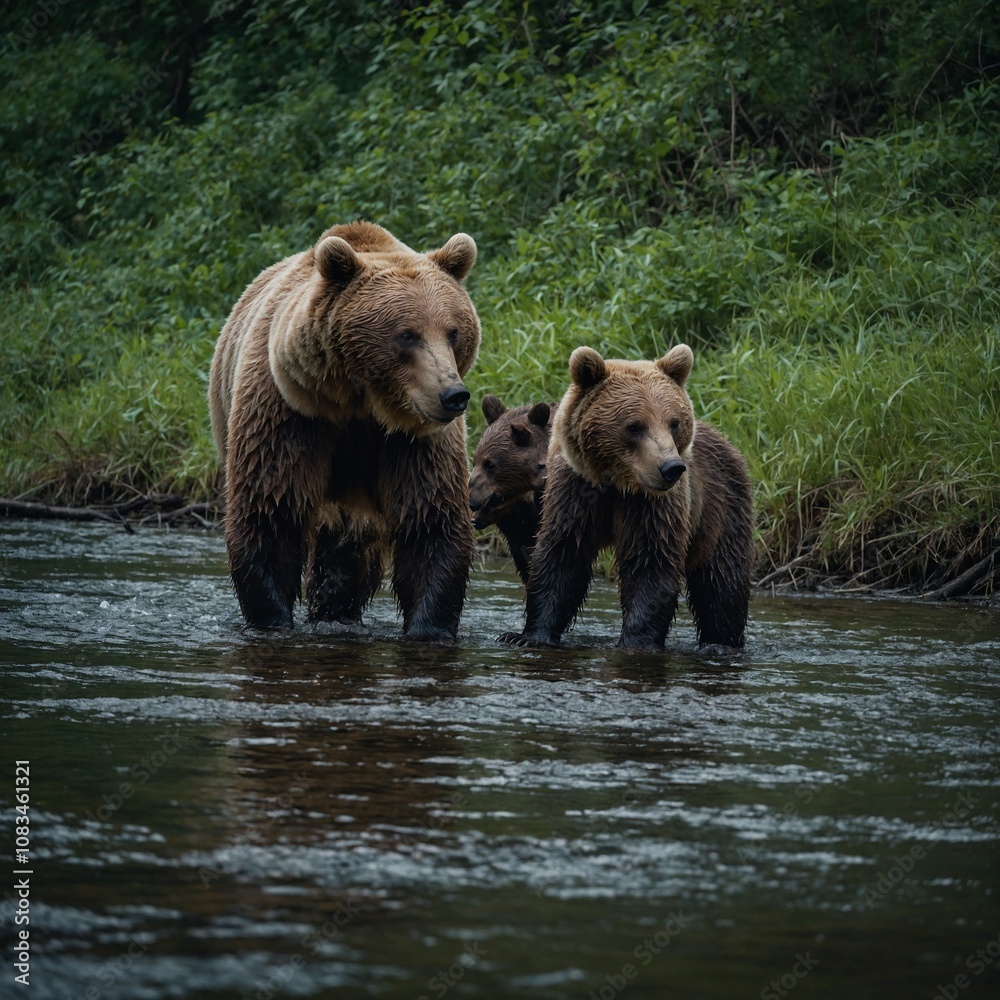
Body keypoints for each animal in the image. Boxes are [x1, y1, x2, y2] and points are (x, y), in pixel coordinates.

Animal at [208, 220, 480, 641]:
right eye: (407, 334)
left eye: (453, 332)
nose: (453, 395)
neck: (361, 405)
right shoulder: (289, 413)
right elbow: (271, 510)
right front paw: (271, 618)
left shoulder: (415, 441)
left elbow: (430, 520)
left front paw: (429, 628)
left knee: (348, 547)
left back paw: (338, 610)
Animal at [499, 344, 752, 650]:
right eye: (634, 426)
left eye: (674, 422)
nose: (671, 468)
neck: (617, 483)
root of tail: (727, 442)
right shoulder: (573, 492)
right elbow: (561, 557)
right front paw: (526, 636)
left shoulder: (652, 506)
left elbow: (650, 564)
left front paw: (636, 643)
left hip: (721, 505)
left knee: (721, 578)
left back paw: (720, 642)